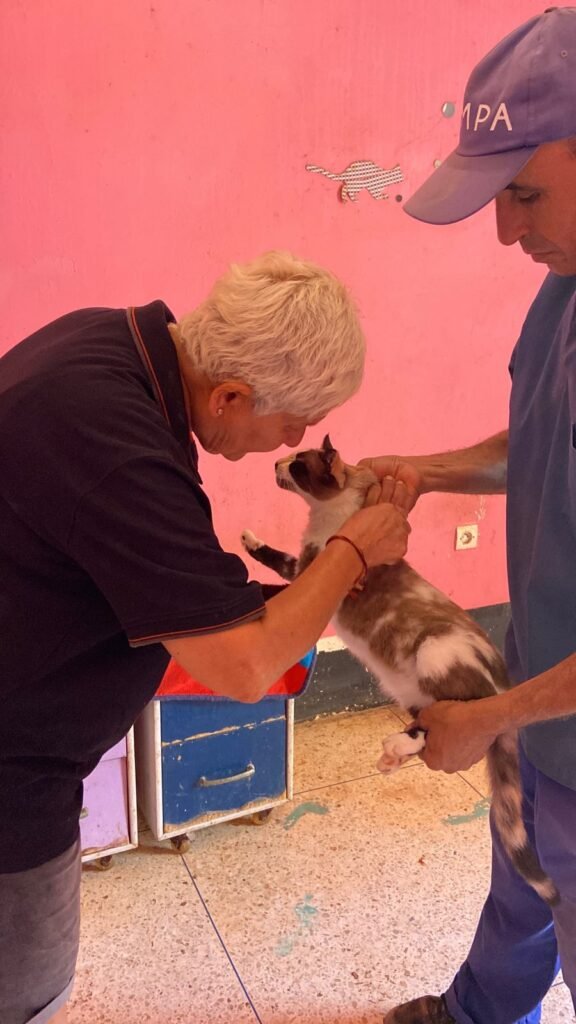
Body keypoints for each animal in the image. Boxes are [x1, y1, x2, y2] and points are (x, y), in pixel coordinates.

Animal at [241, 435, 559, 907]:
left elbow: (278, 574)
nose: (274, 463)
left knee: (458, 717)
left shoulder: (311, 571)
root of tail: (504, 680)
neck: (329, 515)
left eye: (298, 465)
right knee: (426, 721)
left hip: (435, 653)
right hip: (411, 693)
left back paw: (395, 746)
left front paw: (250, 558)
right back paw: (392, 755)